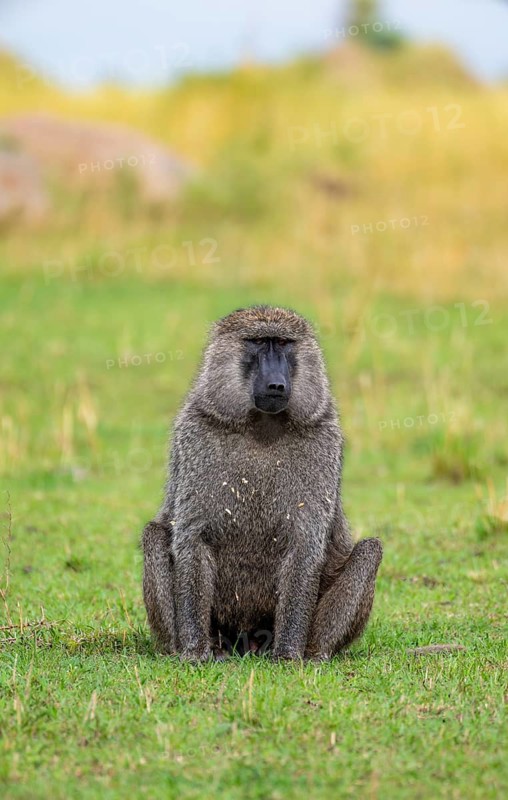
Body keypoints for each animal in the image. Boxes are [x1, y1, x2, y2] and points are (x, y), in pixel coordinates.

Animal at [142, 305, 382, 661]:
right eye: (257, 342)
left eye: (283, 343)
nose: (276, 384)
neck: (261, 425)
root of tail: (246, 640)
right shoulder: (195, 433)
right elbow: (192, 537)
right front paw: (195, 652)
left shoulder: (323, 438)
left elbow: (305, 544)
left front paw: (288, 655)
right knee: (154, 535)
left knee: (370, 550)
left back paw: (314, 654)